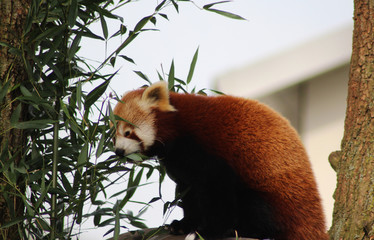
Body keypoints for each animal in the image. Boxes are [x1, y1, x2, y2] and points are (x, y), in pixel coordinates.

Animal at [113, 81, 328, 240]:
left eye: (128, 132)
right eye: (114, 135)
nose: (118, 151)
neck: (177, 128)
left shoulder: (204, 153)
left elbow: (218, 191)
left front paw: (207, 231)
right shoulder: (182, 168)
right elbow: (190, 193)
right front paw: (184, 225)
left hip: (275, 198)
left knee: (258, 209)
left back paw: (243, 229)